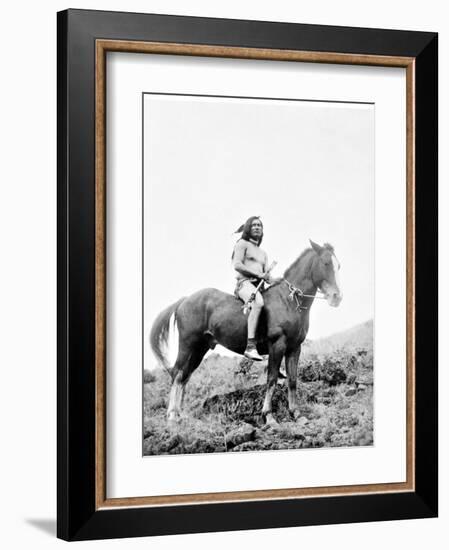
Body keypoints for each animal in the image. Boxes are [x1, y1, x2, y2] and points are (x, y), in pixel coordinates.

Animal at [149, 240, 342, 426]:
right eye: (325, 263)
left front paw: (296, 414)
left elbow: (292, 380)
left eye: (338, 265)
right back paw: (172, 416)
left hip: (199, 349)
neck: (288, 301)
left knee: (185, 376)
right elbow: (271, 379)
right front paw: (269, 416)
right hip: (187, 345)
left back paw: (180, 414)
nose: (337, 297)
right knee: (177, 373)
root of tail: (185, 300)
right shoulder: (277, 345)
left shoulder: (294, 348)